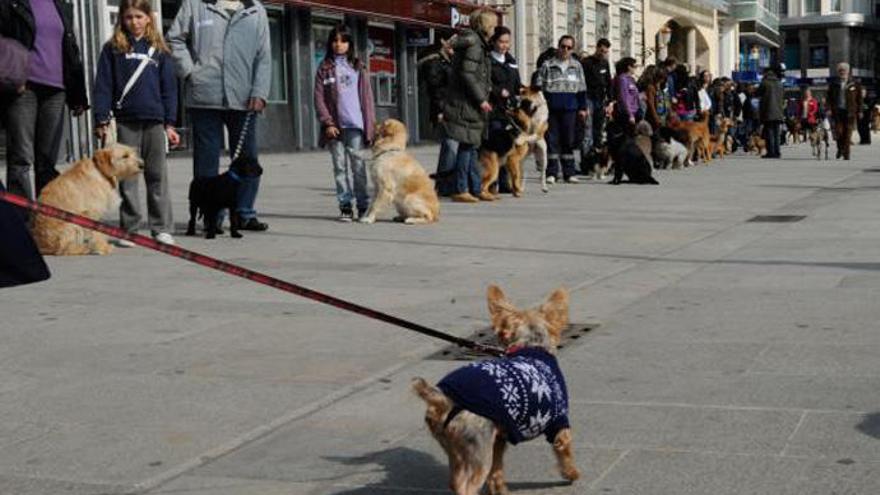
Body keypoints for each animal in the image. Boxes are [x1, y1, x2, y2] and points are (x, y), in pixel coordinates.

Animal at [410, 286, 576, 495]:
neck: (531, 346)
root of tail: (444, 400)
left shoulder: (498, 439)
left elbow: (496, 472)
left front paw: (499, 490)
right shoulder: (559, 422)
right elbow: (565, 451)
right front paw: (572, 474)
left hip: (456, 449)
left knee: (455, 480)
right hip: (478, 451)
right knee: (466, 486)